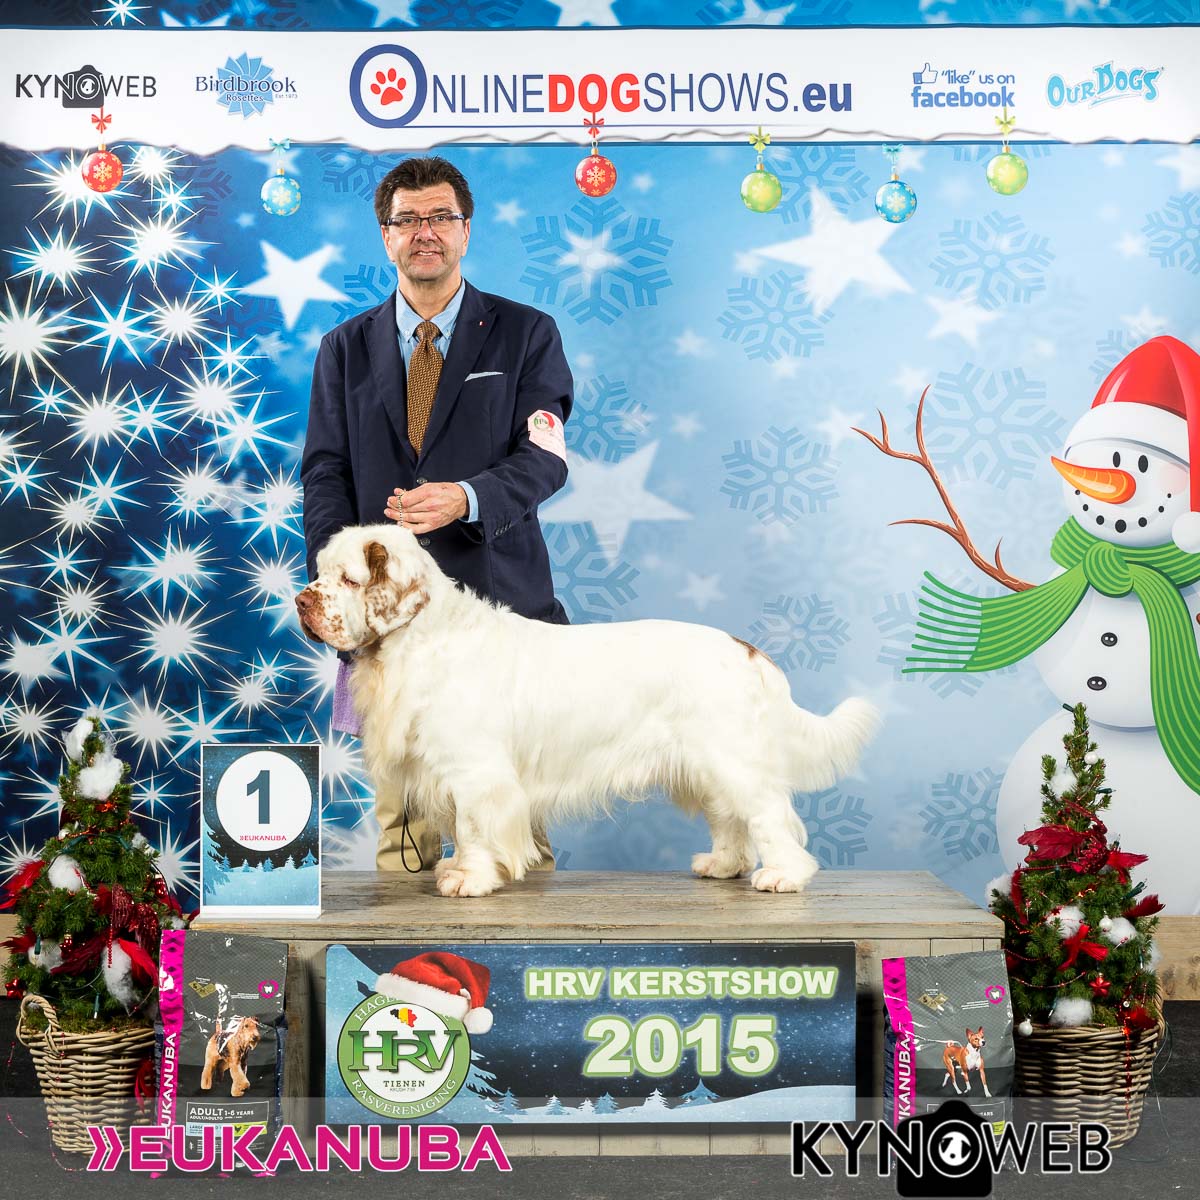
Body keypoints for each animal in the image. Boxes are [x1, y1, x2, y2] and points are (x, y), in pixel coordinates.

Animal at [295, 523, 879, 898]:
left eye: (348, 579)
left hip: (731, 757)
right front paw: (461, 869)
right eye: (320, 572)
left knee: (769, 815)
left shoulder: (475, 771)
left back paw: (783, 876)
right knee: (729, 816)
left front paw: (469, 878)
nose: (302, 601)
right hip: (706, 763)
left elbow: (474, 825)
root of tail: (747, 649)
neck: (421, 639)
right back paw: (722, 865)